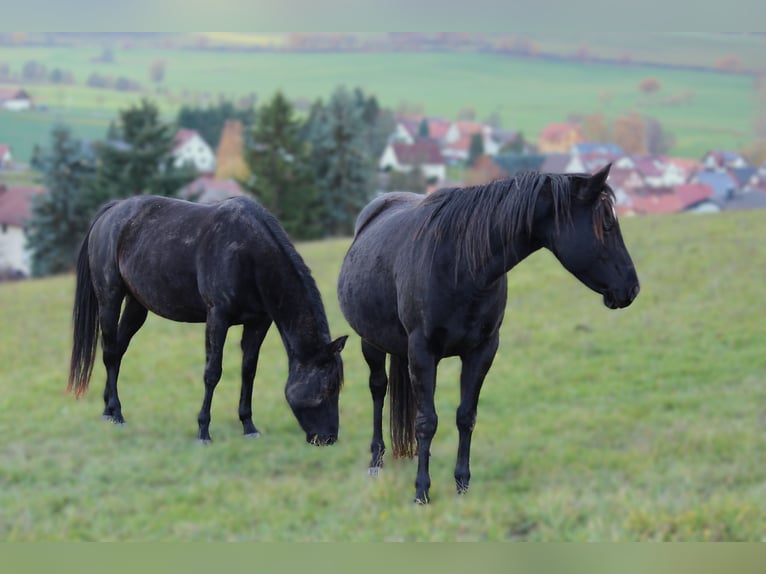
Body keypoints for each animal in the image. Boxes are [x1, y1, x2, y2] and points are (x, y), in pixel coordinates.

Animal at [68, 194, 347, 446]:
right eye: (329, 387)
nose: (329, 438)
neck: (248, 254)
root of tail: (112, 210)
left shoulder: (258, 322)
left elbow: (249, 370)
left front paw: (248, 426)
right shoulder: (217, 318)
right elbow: (212, 373)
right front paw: (203, 431)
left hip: (137, 305)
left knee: (117, 351)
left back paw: (108, 410)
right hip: (109, 298)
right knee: (108, 352)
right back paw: (116, 413)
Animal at [337, 164, 640, 503]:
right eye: (607, 224)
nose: (632, 288)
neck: (460, 264)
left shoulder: (482, 350)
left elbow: (465, 416)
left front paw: (462, 485)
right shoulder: (423, 352)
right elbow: (427, 422)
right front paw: (421, 491)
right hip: (371, 342)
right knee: (378, 389)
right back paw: (376, 461)